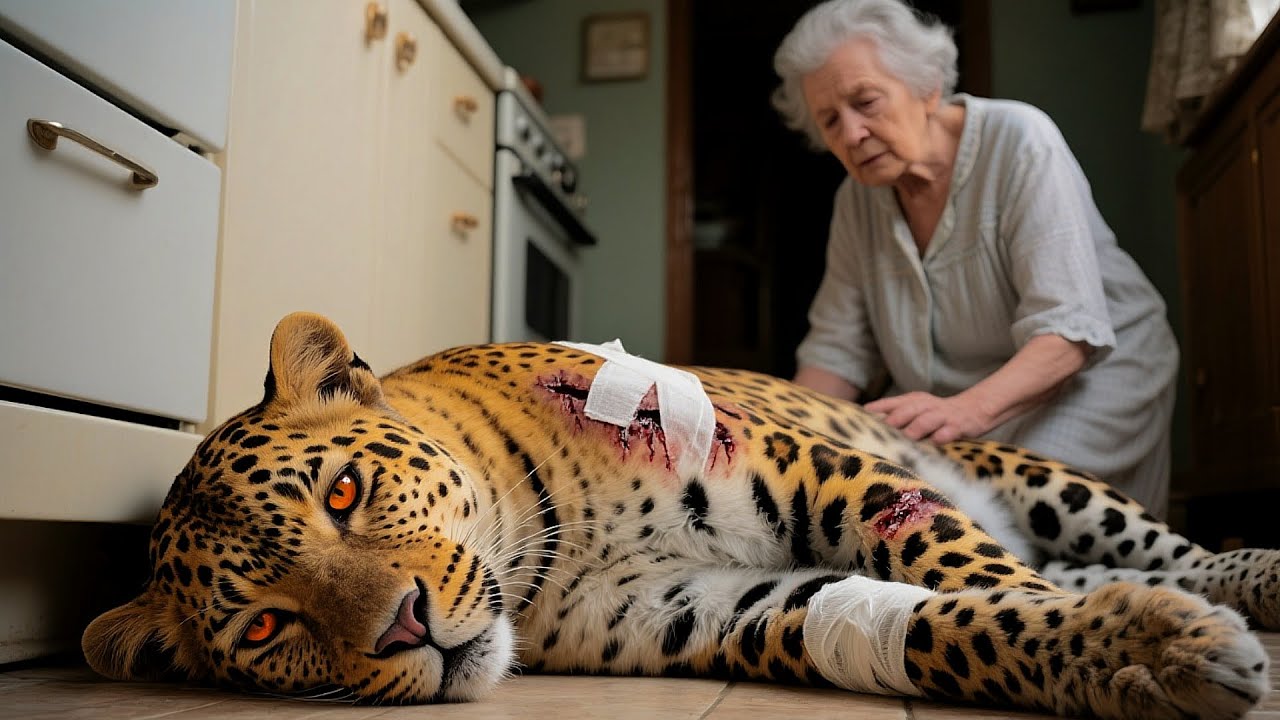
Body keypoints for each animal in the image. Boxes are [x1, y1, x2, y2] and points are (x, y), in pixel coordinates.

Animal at [82, 312, 1279, 718]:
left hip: (1036, 480)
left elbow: (973, 576)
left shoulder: (809, 469)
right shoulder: (708, 605)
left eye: (344, 494)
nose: (404, 628)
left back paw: (1250, 579)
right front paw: (1130, 653)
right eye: (266, 627)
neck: (537, 547)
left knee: (1165, 549)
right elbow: (943, 621)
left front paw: (1138, 651)